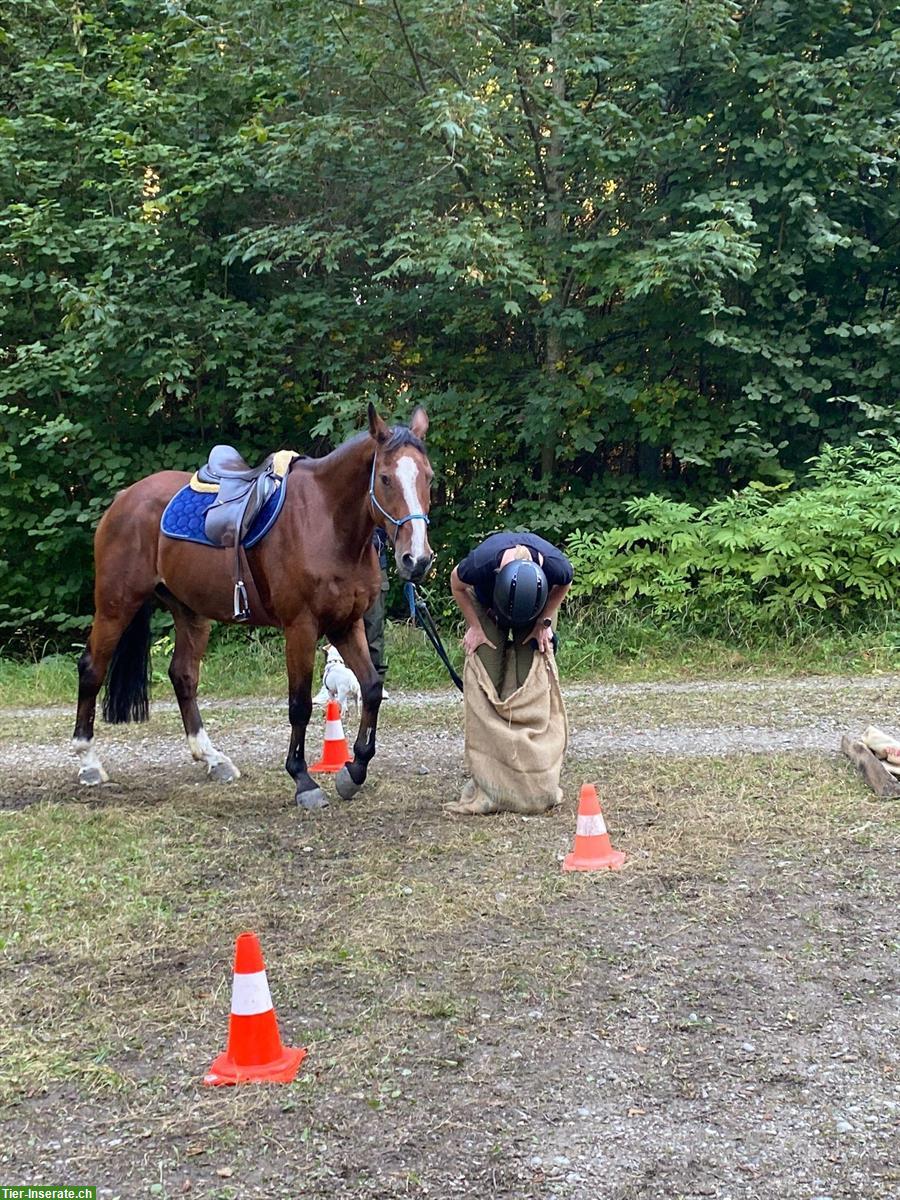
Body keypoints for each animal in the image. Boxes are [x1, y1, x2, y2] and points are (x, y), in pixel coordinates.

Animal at [74, 403, 434, 806]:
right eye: (385, 478)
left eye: (429, 477)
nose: (416, 559)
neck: (326, 522)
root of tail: (125, 498)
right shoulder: (301, 628)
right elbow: (300, 705)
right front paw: (303, 779)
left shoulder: (346, 624)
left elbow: (371, 688)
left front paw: (353, 771)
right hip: (115, 605)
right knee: (91, 669)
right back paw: (88, 762)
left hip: (190, 612)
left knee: (183, 676)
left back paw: (212, 758)